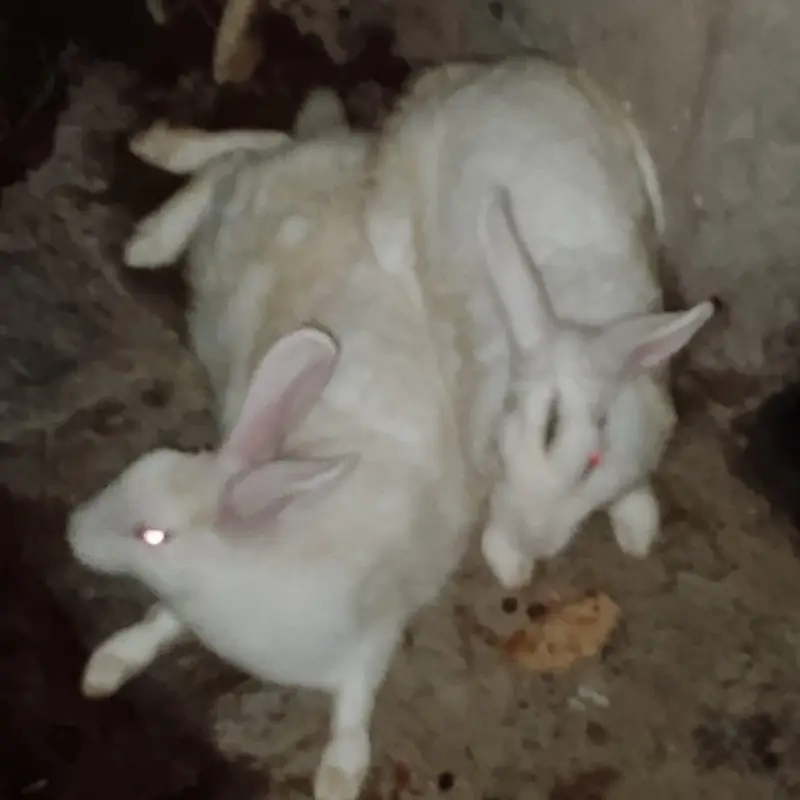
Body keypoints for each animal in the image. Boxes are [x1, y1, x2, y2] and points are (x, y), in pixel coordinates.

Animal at [66, 90, 482, 800]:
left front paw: (337, 779)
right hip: (242, 211)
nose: (71, 532)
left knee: (257, 149)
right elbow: (156, 623)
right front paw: (107, 665)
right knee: (240, 156)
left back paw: (156, 206)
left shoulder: (371, 641)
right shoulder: (186, 600)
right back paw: (154, 218)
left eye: (153, 535)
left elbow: (354, 711)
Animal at [365, 54, 716, 590]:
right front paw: (511, 568)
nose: (532, 543)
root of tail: (467, 78)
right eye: (500, 447)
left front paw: (638, 534)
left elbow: (630, 490)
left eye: (592, 464)